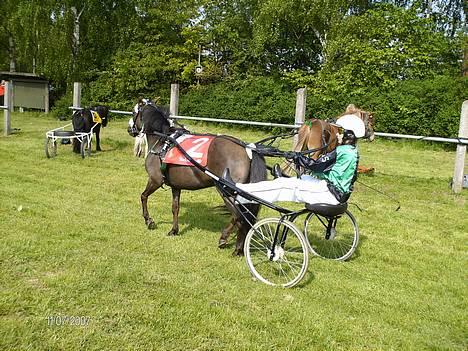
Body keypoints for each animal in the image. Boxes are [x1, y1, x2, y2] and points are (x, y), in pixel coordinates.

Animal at [132, 104, 266, 256]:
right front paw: (174, 230)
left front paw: (149, 221)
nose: (130, 129)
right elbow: (175, 208)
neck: (163, 143)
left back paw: (229, 241)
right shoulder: (176, 186)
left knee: (239, 216)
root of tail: (246, 148)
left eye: (134, 112)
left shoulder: (155, 180)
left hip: (227, 192)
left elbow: (143, 196)